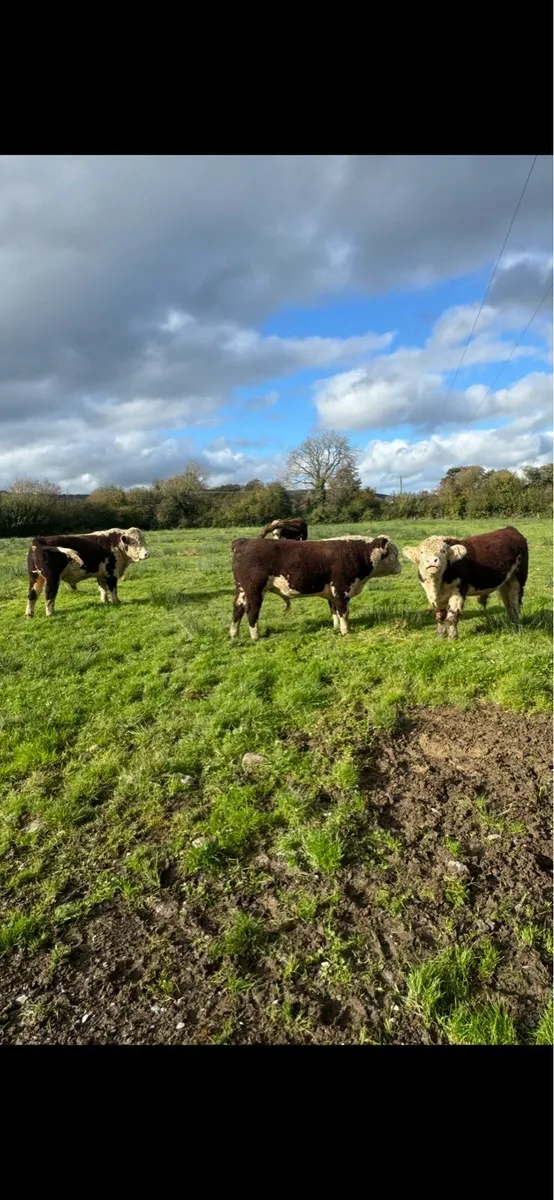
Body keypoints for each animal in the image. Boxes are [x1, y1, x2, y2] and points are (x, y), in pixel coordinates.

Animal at [230, 534, 401, 640]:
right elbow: (344, 613)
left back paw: (234, 635)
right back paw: (256, 636)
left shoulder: (332, 593)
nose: (400, 568)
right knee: (251, 611)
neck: (358, 553)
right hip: (254, 590)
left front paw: (335, 628)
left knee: (237, 609)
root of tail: (243, 542)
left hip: (242, 590)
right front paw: (345, 632)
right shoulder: (341, 590)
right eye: (393, 553)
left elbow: (334, 611)